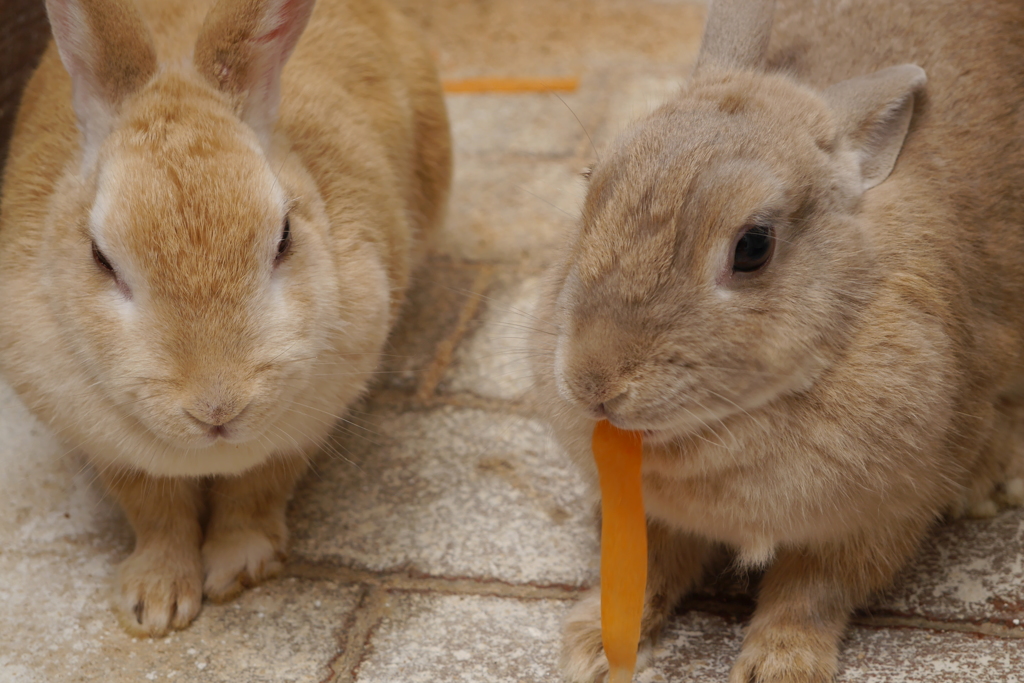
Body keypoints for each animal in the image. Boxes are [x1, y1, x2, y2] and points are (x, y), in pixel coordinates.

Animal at [0, 0, 448, 634]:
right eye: (100, 257)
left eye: (284, 238)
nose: (218, 409)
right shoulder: (114, 454)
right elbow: (156, 514)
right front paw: (155, 604)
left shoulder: (298, 432)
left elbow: (254, 494)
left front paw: (236, 570)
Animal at [532, 0, 1024, 679]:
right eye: (591, 186)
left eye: (753, 247)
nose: (593, 384)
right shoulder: (656, 518)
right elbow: (651, 568)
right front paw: (593, 649)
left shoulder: (880, 515)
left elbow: (811, 592)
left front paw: (778, 666)